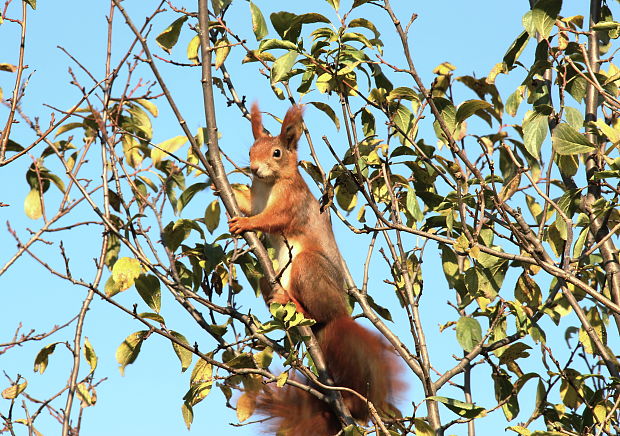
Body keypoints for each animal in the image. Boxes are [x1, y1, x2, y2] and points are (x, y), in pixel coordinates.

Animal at [230, 104, 400, 434]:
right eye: (251, 149)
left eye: (277, 153)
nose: (253, 169)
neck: (268, 184)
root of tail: (341, 315)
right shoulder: (256, 198)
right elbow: (247, 205)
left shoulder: (291, 203)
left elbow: (271, 218)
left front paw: (246, 224)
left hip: (308, 268)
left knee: (319, 314)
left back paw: (294, 303)